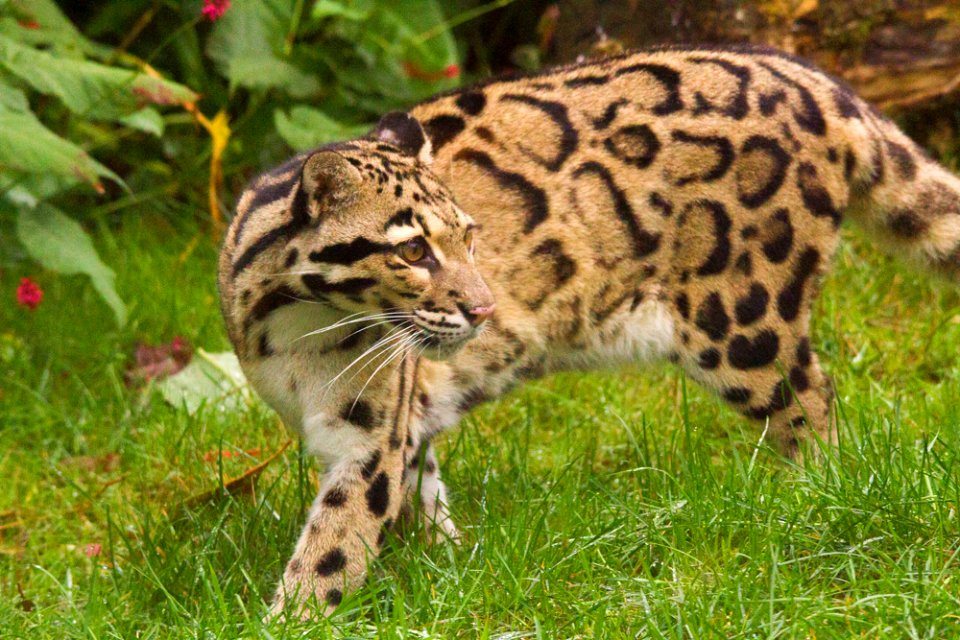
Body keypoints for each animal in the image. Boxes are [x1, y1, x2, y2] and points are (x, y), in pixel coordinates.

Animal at [218, 43, 960, 616]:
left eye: (468, 234)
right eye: (413, 251)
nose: (485, 310)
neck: (298, 332)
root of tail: (814, 81)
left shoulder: (370, 433)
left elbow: (336, 540)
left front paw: (294, 618)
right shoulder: (397, 418)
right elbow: (418, 487)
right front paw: (445, 558)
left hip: (743, 321)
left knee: (814, 400)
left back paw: (812, 497)